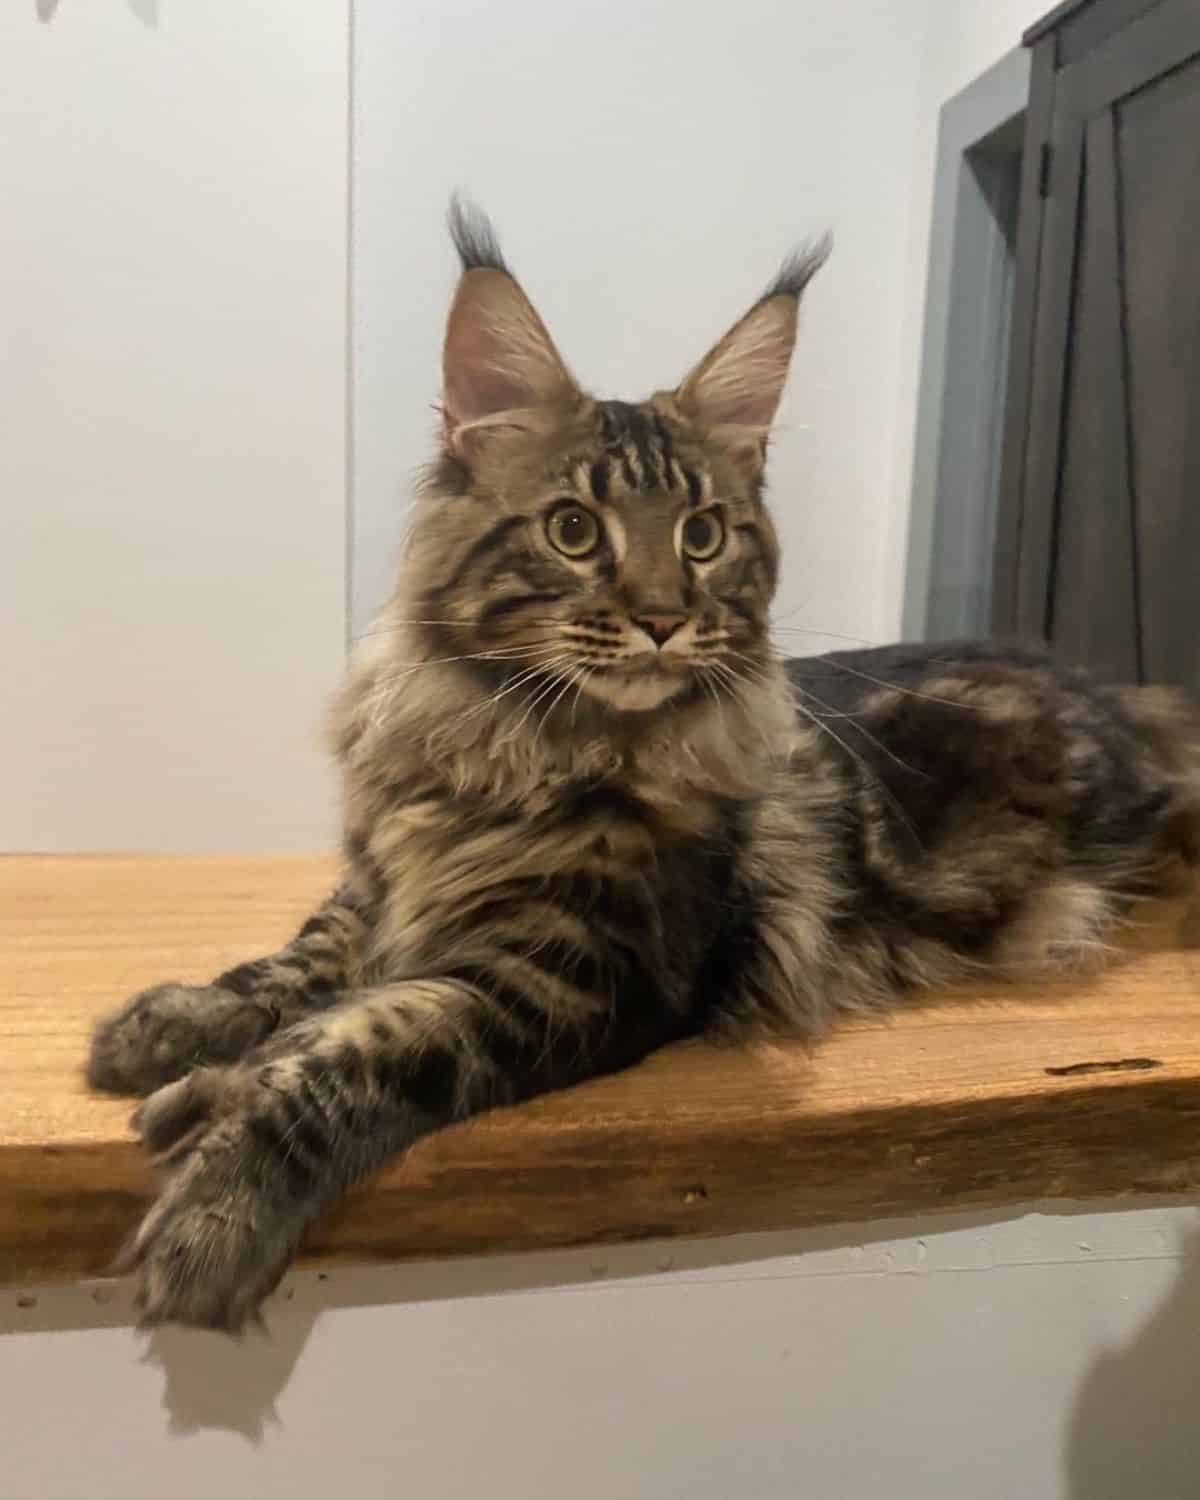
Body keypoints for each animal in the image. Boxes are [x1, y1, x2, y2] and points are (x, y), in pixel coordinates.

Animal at [86, 202, 1200, 1338]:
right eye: (574, 530)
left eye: (703, 536)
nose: (665, 618)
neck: (518, 743)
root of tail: (1118, 694)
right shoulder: (383, 883)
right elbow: (297, 963)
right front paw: (178, 1022)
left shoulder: (577, 973)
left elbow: (363, 1042)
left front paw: (219, 1190)